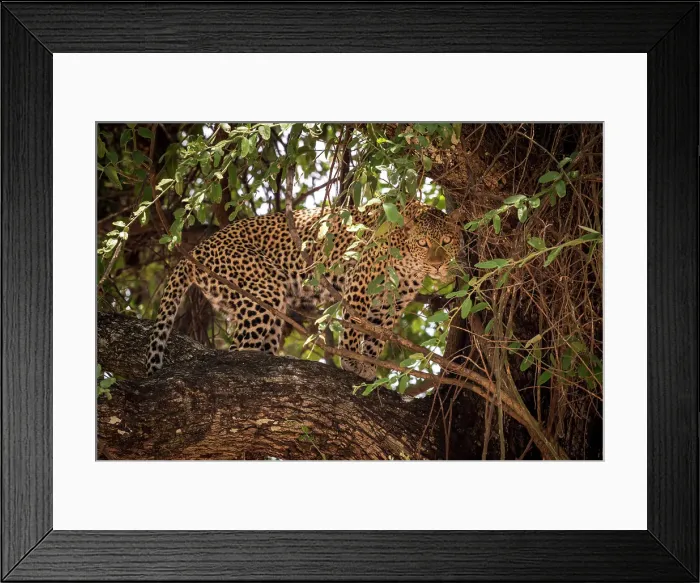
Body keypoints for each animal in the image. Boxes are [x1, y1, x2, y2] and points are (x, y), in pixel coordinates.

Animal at [146, 200, 464, 380]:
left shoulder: (390, 303)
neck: (411, 265)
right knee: (237, 351)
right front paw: (352, 363)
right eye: (423, 243)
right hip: (262, 291)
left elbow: (375, 338)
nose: (437, 265)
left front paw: (368, 365)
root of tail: (197, 249)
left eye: (447, 241)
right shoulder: (359, 288)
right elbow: (353, 330)